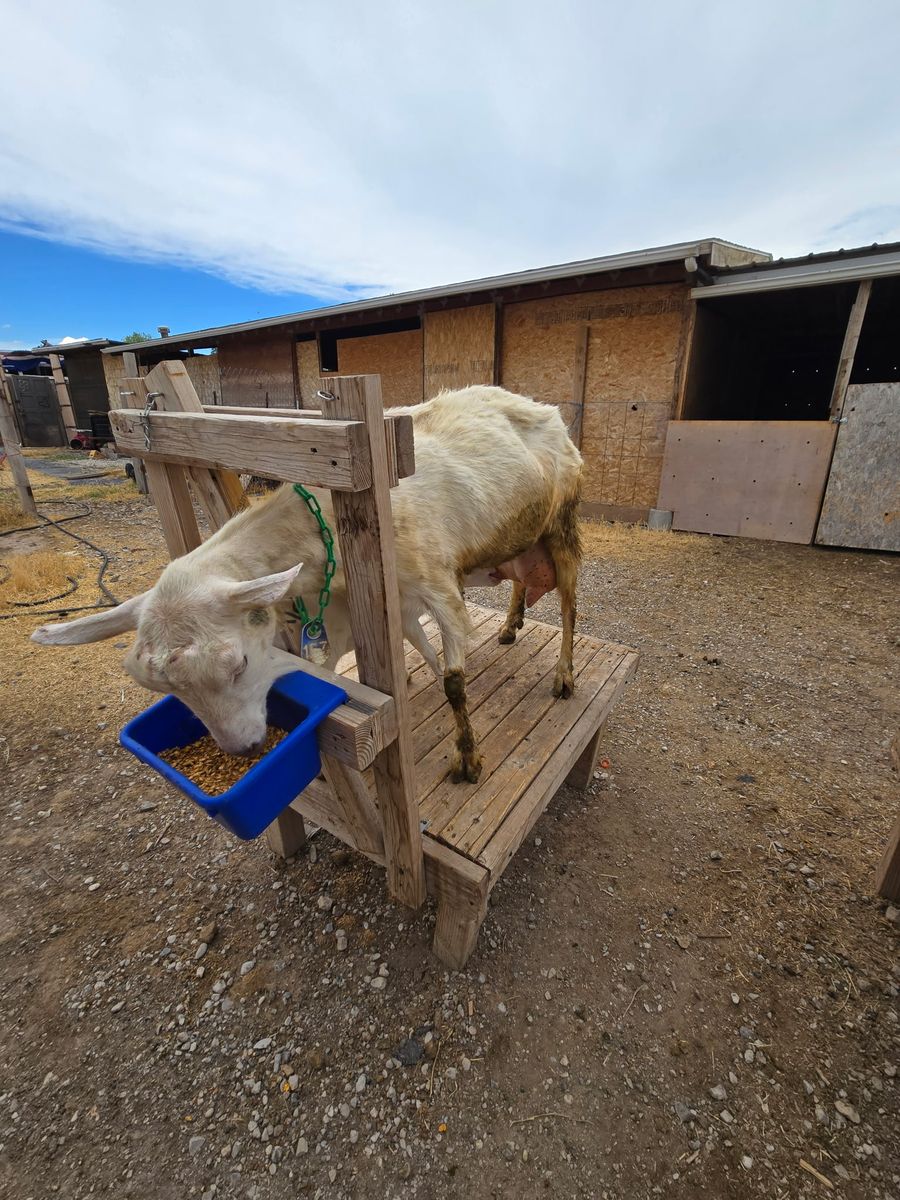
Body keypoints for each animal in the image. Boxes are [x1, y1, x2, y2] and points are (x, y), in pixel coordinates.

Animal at [32, 386, 583, 784]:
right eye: (165, 687)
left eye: (239, 664)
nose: (244, 749)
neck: (332, 520)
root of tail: (544, 409)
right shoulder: (377, 604)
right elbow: (407, 651)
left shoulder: (436, 583)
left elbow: (452, 680)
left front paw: (467, 759)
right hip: (521, 537)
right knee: (521, 581)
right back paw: (510, 627)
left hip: (563, 524)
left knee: (570, 603)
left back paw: (564, 677)